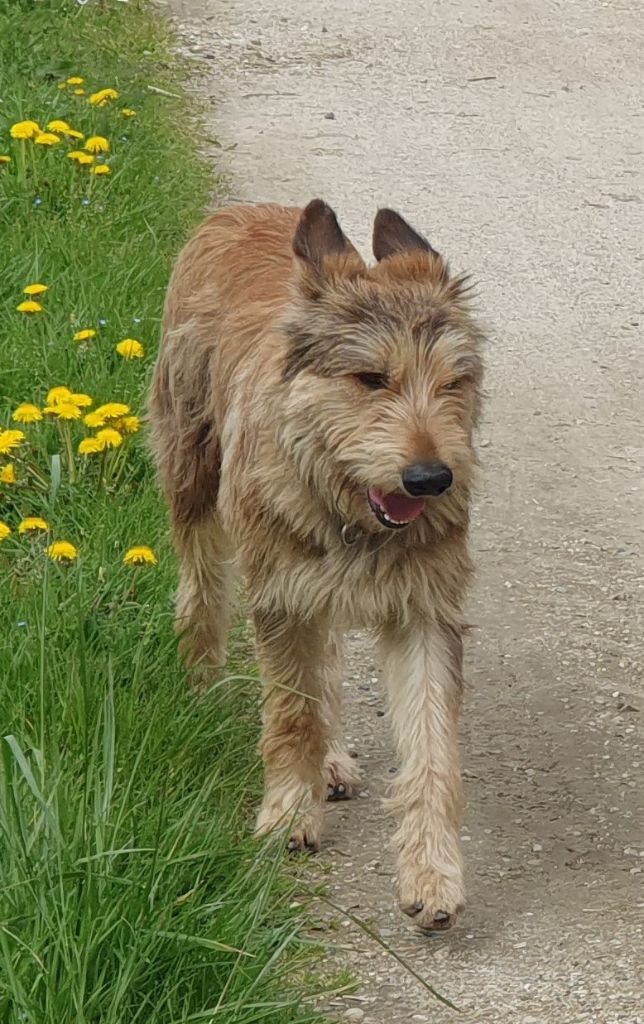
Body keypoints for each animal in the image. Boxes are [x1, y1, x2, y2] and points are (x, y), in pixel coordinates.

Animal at [149, 197, 483, 929]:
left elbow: (431, 747)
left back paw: (330, 760)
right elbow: (290, 712)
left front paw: (433, 872)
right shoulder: (281, 595)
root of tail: (244, 211)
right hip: (190, 465)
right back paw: (201, 681)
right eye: (371, 378)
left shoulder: (425, 610)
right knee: (202, 588)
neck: (345, 503)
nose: (431, 479)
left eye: (454, 382)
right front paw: (287, 814)